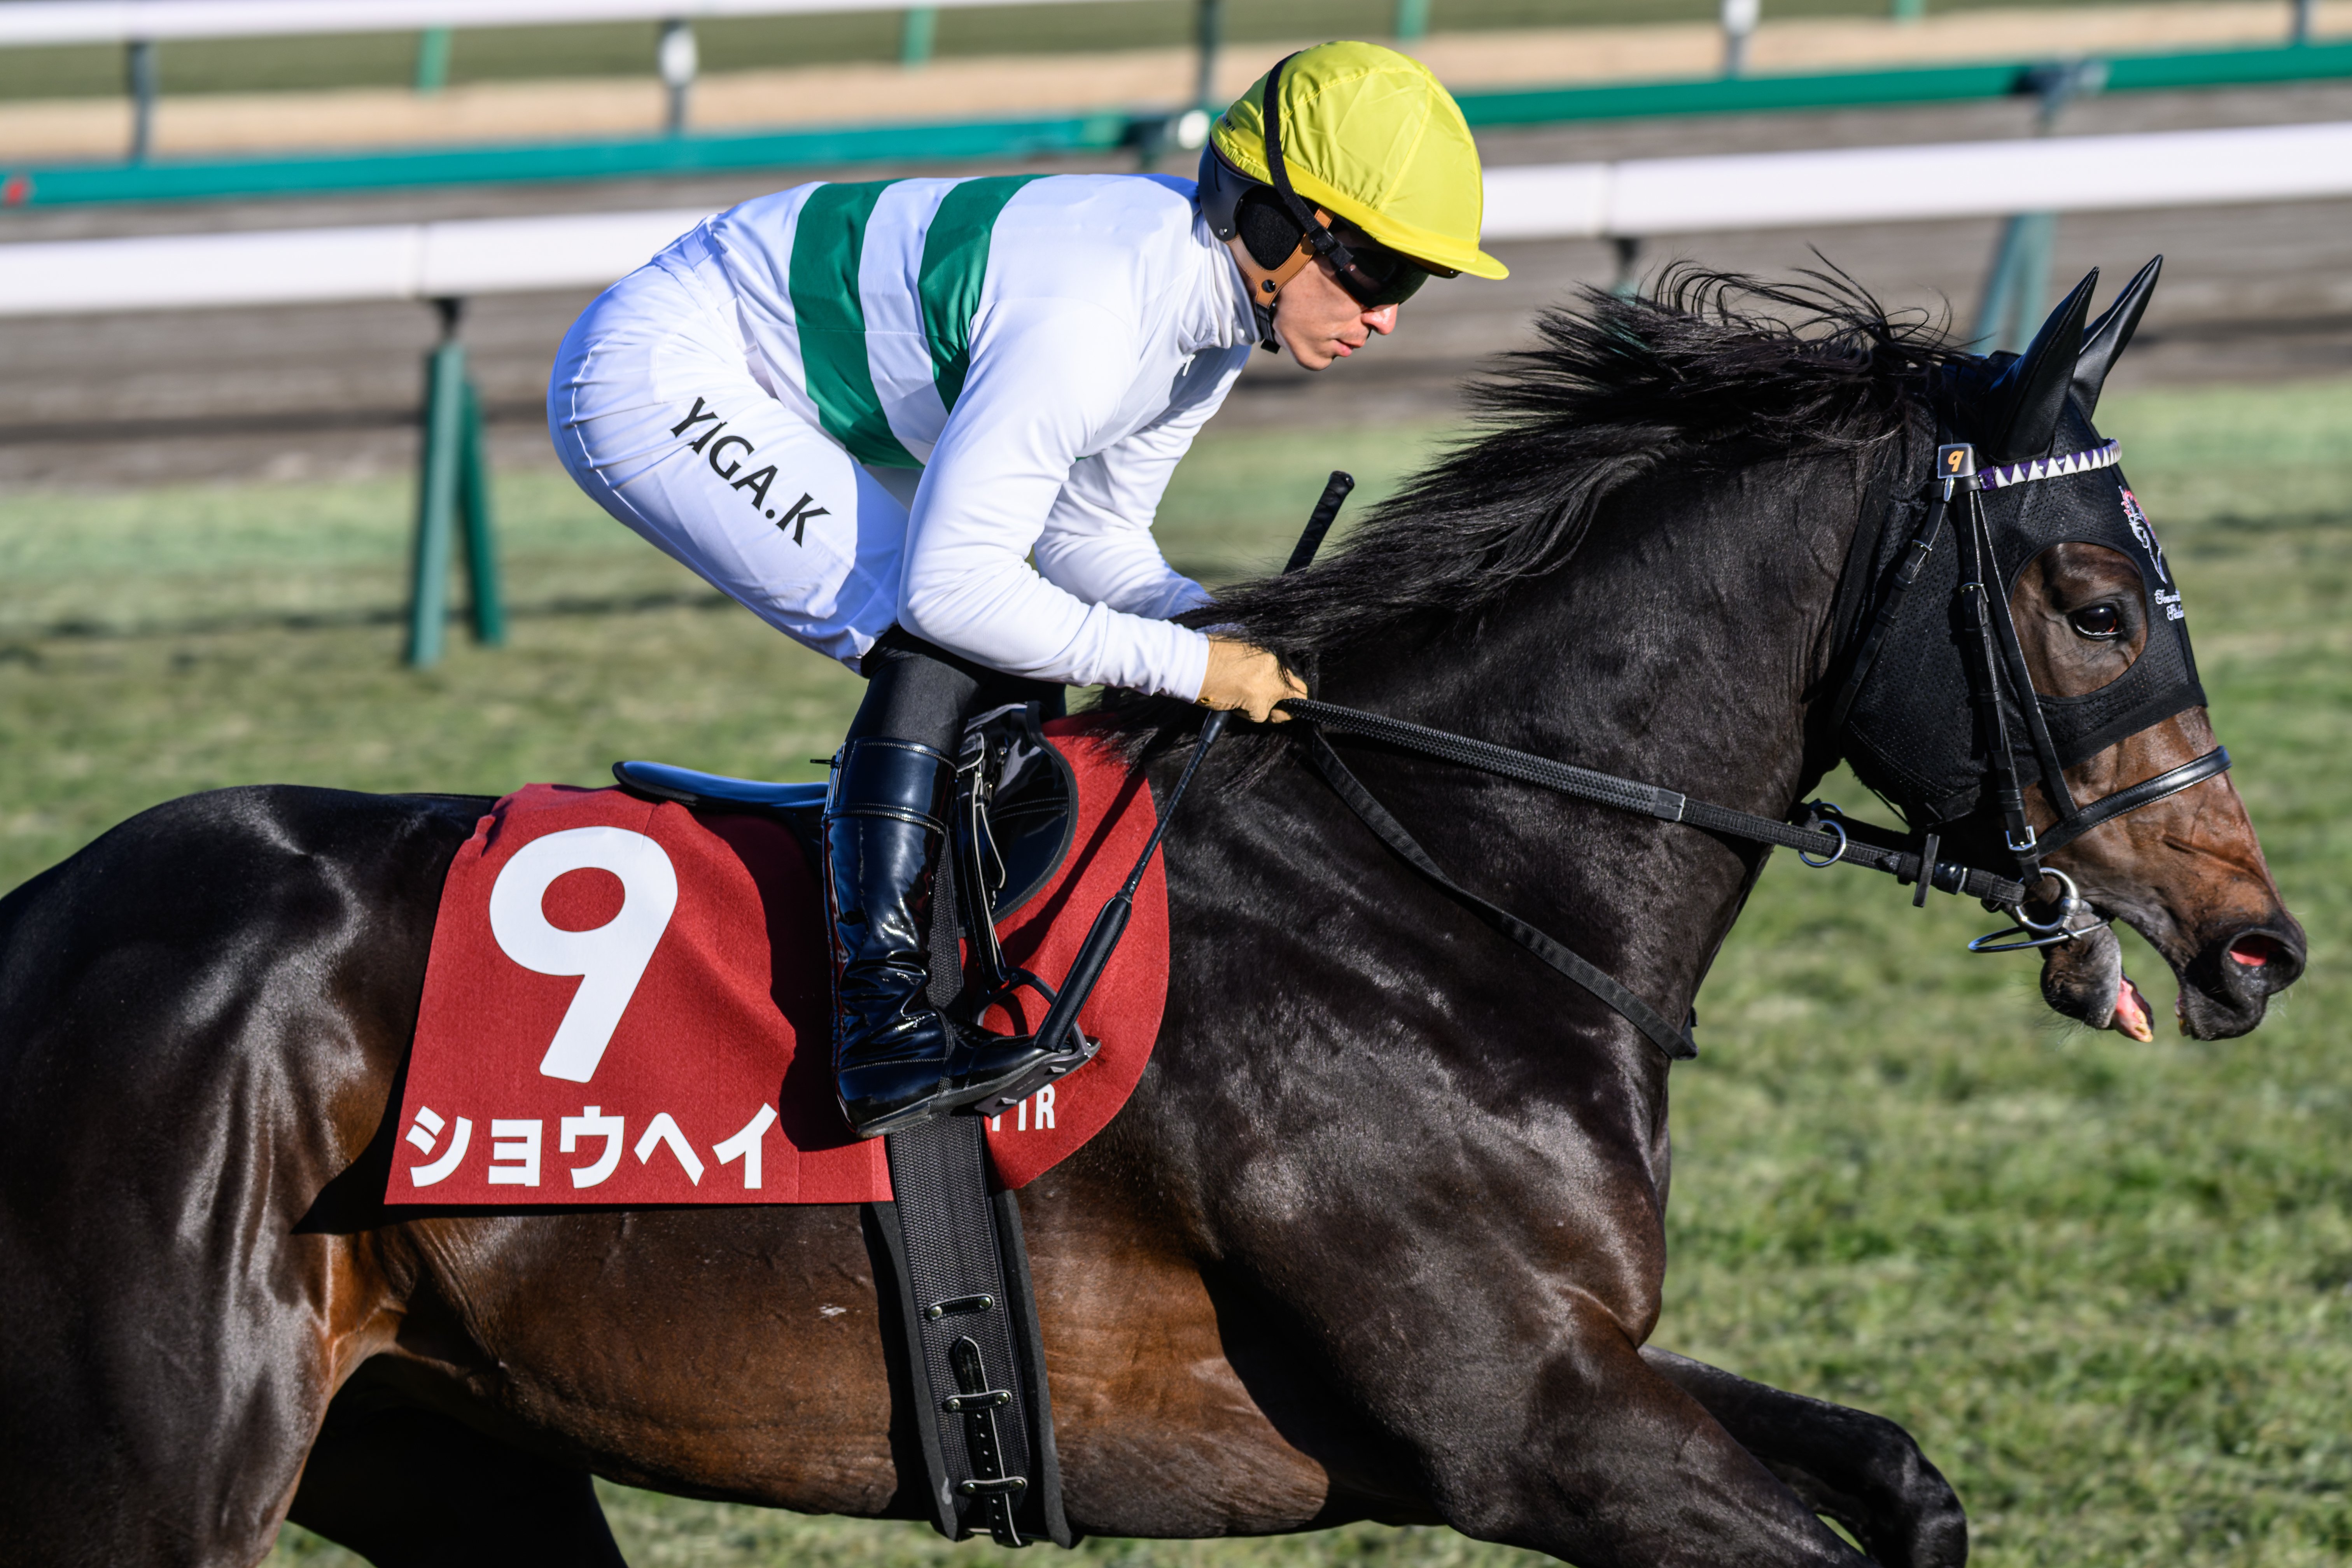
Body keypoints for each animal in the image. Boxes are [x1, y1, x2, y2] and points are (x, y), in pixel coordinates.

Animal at [0, 269, 2303, 1568]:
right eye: (2095, 603)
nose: (2255, 942)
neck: (1437, 891)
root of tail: (43, 924)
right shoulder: (1521, 1426)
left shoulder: (1585, 1367)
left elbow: (1904, 1472)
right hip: (157, 1475)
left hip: (440, 1442)